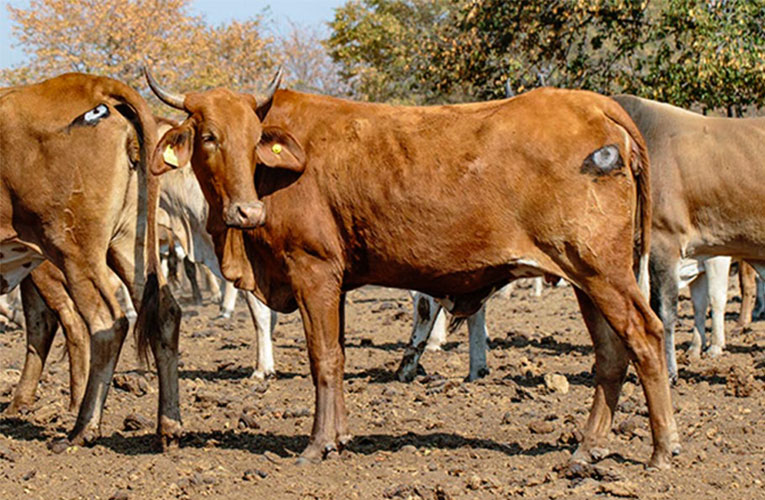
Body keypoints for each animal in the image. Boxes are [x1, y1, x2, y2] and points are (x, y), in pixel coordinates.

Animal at [0, 73, 181, 450]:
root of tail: (93, 83)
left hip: (71, 249)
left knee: (103, 323)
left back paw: (83, 426)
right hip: (129, 243)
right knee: (165, 313)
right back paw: (168, 427)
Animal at [146, 68, 676, 470]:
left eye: (256, 139)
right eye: (209, 137)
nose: (247, 211)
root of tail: (593, 103)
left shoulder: (312, 270)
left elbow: (323, 359)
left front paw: (317, 444)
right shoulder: (335, 281)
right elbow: (338, 356)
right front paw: (340, 436)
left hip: (600, 270)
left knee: (645, 335)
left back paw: (662, 449)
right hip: (586, 275)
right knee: (611, 354)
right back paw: (587, 448)